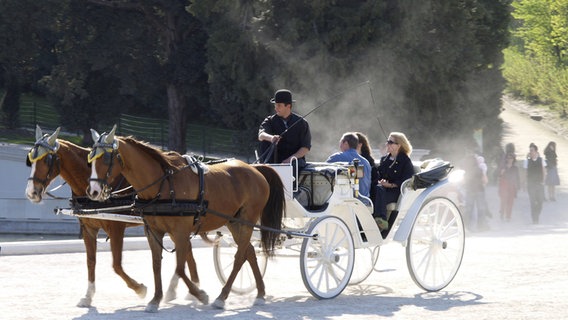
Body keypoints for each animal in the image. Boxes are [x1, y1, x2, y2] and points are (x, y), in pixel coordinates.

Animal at [26, 125, 204, 308]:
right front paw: (88, 295)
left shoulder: (116, 227)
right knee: (186, 249)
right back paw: (182, 289)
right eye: (30, 160)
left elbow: (117, 265)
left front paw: (139, 288)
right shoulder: (88, 228)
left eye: (46, 160)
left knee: (185, 249)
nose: (31, 192)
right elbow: (91, 261)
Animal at [85, 126, 284, 312]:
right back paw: (260, 293)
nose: (93, 191)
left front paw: (199, 294)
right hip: (234, 222)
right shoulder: (153, 231)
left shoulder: (180, 232)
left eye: (105, 158)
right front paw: (156, 299)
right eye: (90, 159)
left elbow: (180, 268)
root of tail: (255, 170)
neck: (164, 185)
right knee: (249, 252)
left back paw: (222, 296)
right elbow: (156, 264)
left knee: (239, 256)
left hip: (246, 221)